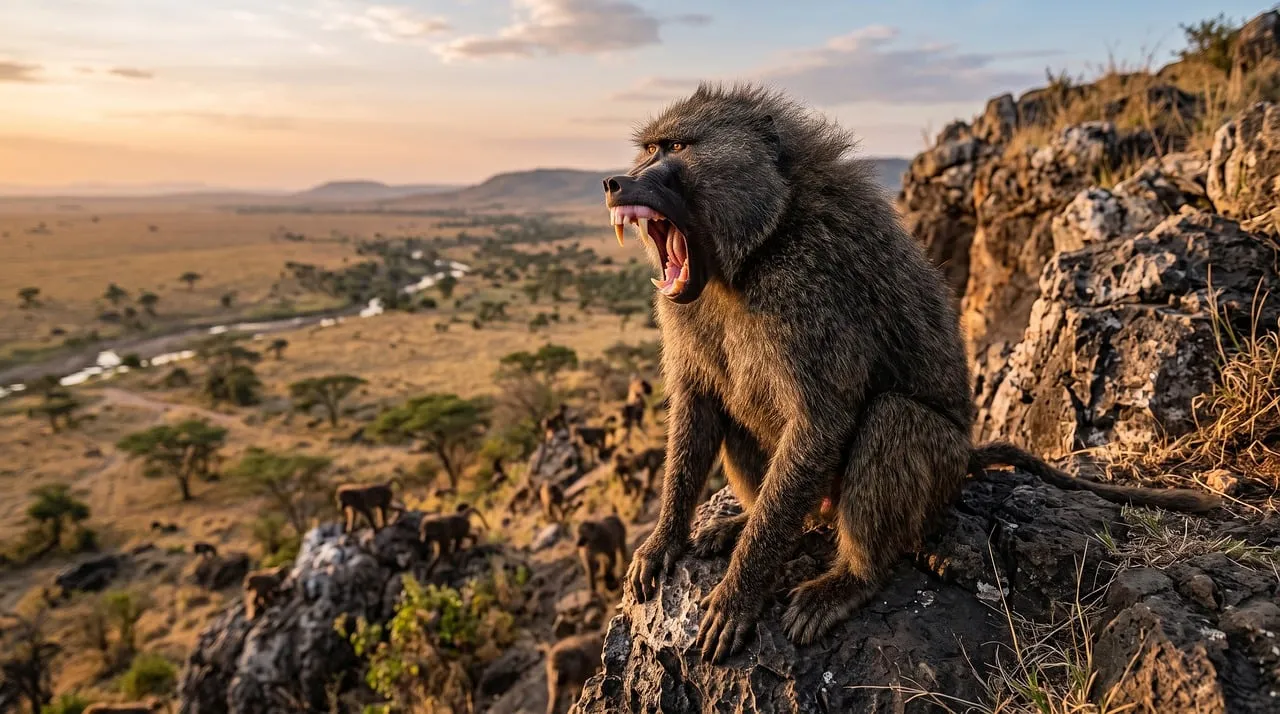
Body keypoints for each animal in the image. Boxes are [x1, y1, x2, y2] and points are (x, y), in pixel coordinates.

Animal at [604, 83, 1220, 664]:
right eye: (649, 149)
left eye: (678, 148)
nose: (615, 182)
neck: (760, 246)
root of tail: (965, 458)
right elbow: (700, 402)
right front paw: (663, 544)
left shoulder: (811, 284)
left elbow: (820, 424)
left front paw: (737, 596)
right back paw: (745, 525)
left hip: (936, 472)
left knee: (890, 418)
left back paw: (850, 579)